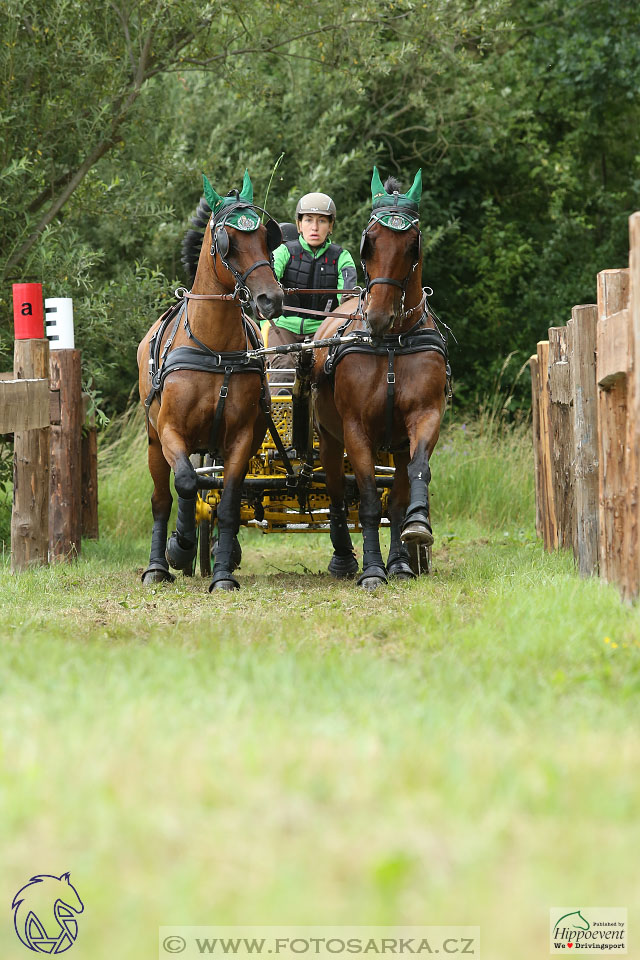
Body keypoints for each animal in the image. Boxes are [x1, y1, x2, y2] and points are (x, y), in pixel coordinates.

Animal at [138, 173, 282, 592]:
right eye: (227, 242)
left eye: (266, 237)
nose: (271, 299)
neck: (214, 349)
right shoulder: (171, 430)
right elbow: (187, 483)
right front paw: (181, 543)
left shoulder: (241, 439)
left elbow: (230, 500)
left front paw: (222, 575)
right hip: (154, 442)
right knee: (164, 497)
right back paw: (159, 564)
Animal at [312, 169, 448, 588]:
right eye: (369, 242)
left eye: (411, 246)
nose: (378, 317)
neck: (391, 343)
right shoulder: (356, 428)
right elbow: (370, 498)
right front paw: (373, 570)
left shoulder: (424, 417)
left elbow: (410, 486)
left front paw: (409, 546)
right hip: (329, 439)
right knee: (337, 495)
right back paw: (343, 557)